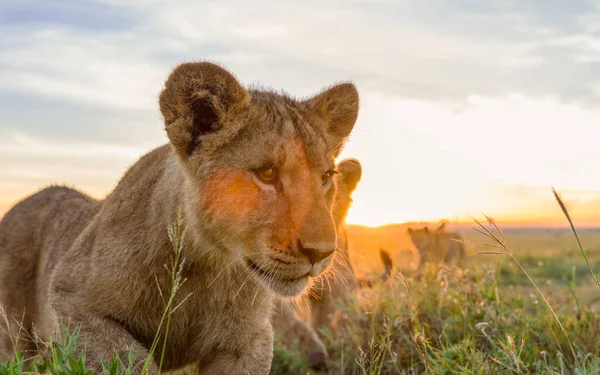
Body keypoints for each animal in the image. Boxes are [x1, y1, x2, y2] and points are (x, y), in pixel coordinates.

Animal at [0, 60, 358, 374]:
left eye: (326, 178)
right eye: (267, 173)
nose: (321, 252)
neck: (206, 267)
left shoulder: (248, 342)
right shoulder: (72, 300)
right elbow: (133, 364)